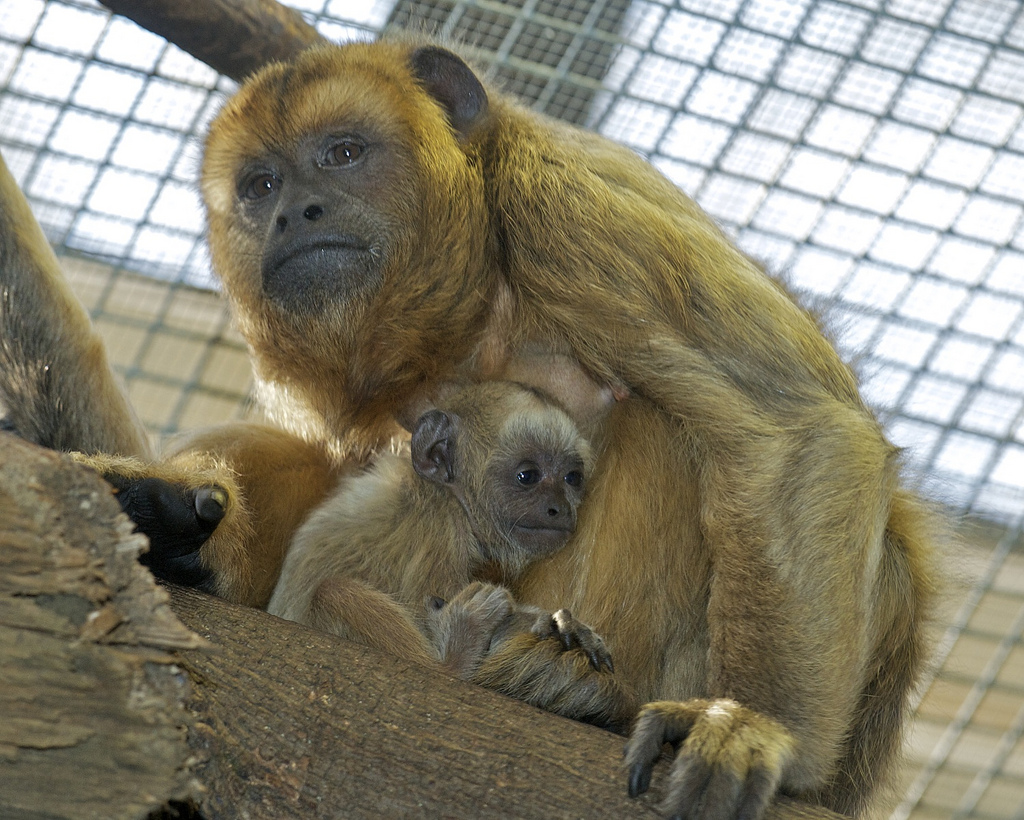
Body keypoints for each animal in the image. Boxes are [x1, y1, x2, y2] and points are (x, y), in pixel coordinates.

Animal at [0, 41, 937, 818]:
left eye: (343, 153)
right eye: (260, 186)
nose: (297, 212)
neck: (465, 313)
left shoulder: (566, 203)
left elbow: (789, 427)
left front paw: (751, 727)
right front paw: (172, 519)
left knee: (668, 424)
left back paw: (557, 682)